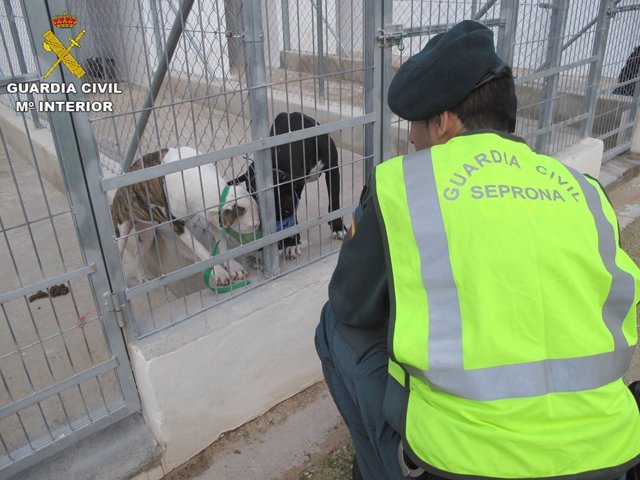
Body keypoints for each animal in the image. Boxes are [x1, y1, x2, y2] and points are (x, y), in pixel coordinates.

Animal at [112, 147, 260, 284]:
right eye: (254, 225)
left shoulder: (212, 217)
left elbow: (222, 243)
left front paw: (233, 267)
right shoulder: (179, 226)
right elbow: (201, 250)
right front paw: (219, 272)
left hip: (147, 235)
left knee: (138, 253)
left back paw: (141, 277)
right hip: (121, 234)